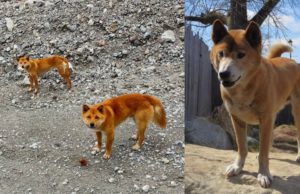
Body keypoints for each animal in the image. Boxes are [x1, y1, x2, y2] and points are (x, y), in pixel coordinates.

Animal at [210, 19, 300, 187]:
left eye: (241, 55)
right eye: (221, 54)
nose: (223, 73)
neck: (243, 90)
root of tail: (292, 61)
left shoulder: (265, 119)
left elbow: (263, 151)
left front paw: (264, 173)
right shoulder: (237, 119)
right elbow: (242, 147)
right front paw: (237, 167)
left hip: (296, 113)